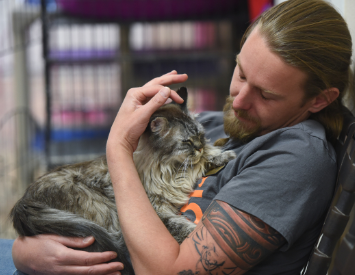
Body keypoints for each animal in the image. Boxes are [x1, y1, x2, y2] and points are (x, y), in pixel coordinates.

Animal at [11, 87, 238, 274]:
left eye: (200, 135)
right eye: (186, 142)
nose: (198, 147)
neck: (166, 168)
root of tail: (23, 202)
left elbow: (202, 162)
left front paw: (222, 156)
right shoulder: (159, 211)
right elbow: (183, 226)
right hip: (106, 211)